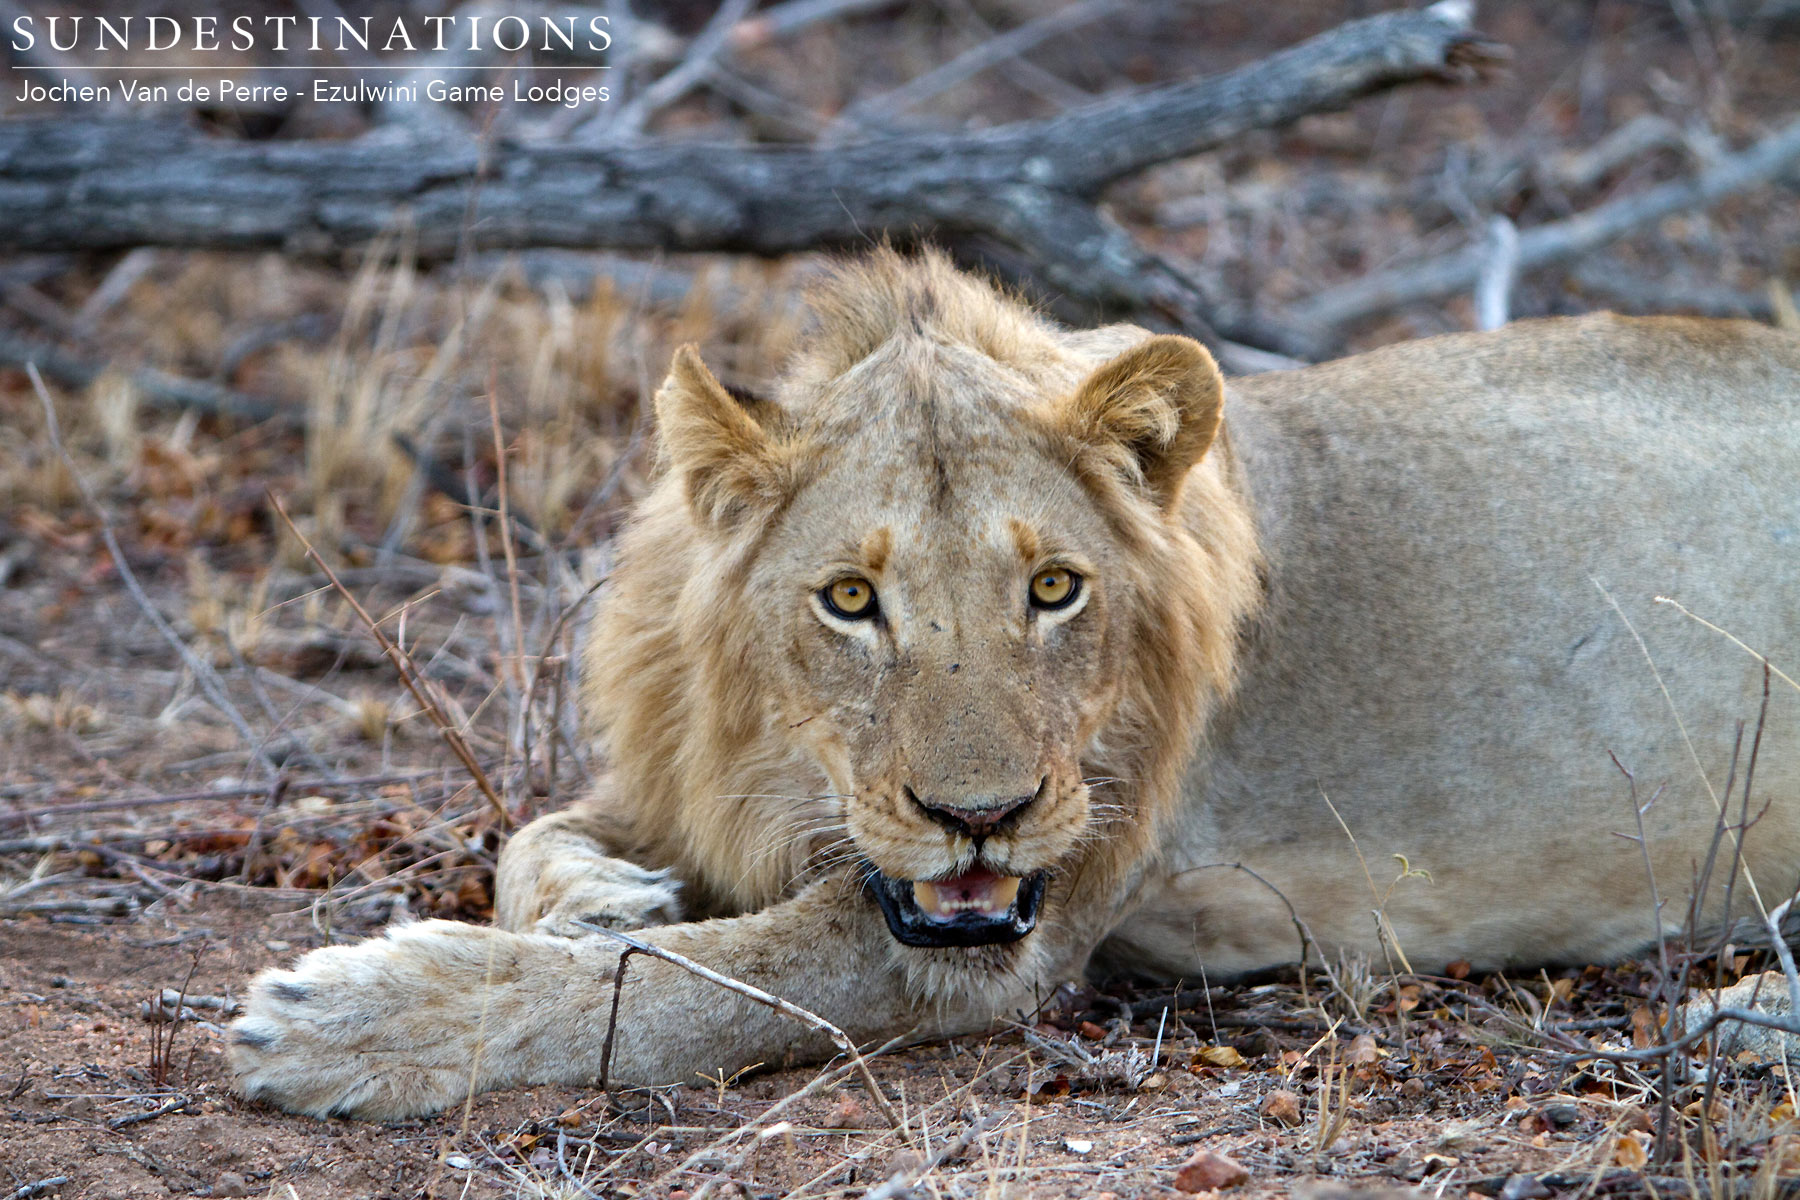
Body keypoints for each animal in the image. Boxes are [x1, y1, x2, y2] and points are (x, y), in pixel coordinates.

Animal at [229, 249, 1800, 1119]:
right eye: (849, 601)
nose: (977, 818)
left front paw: (357, 1020)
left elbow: (689, 985)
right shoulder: (688, 778)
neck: (785, 775)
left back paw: (1741, 1020)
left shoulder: (1003, 942)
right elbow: (539, 841)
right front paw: (604, 894)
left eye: (1055, 589)